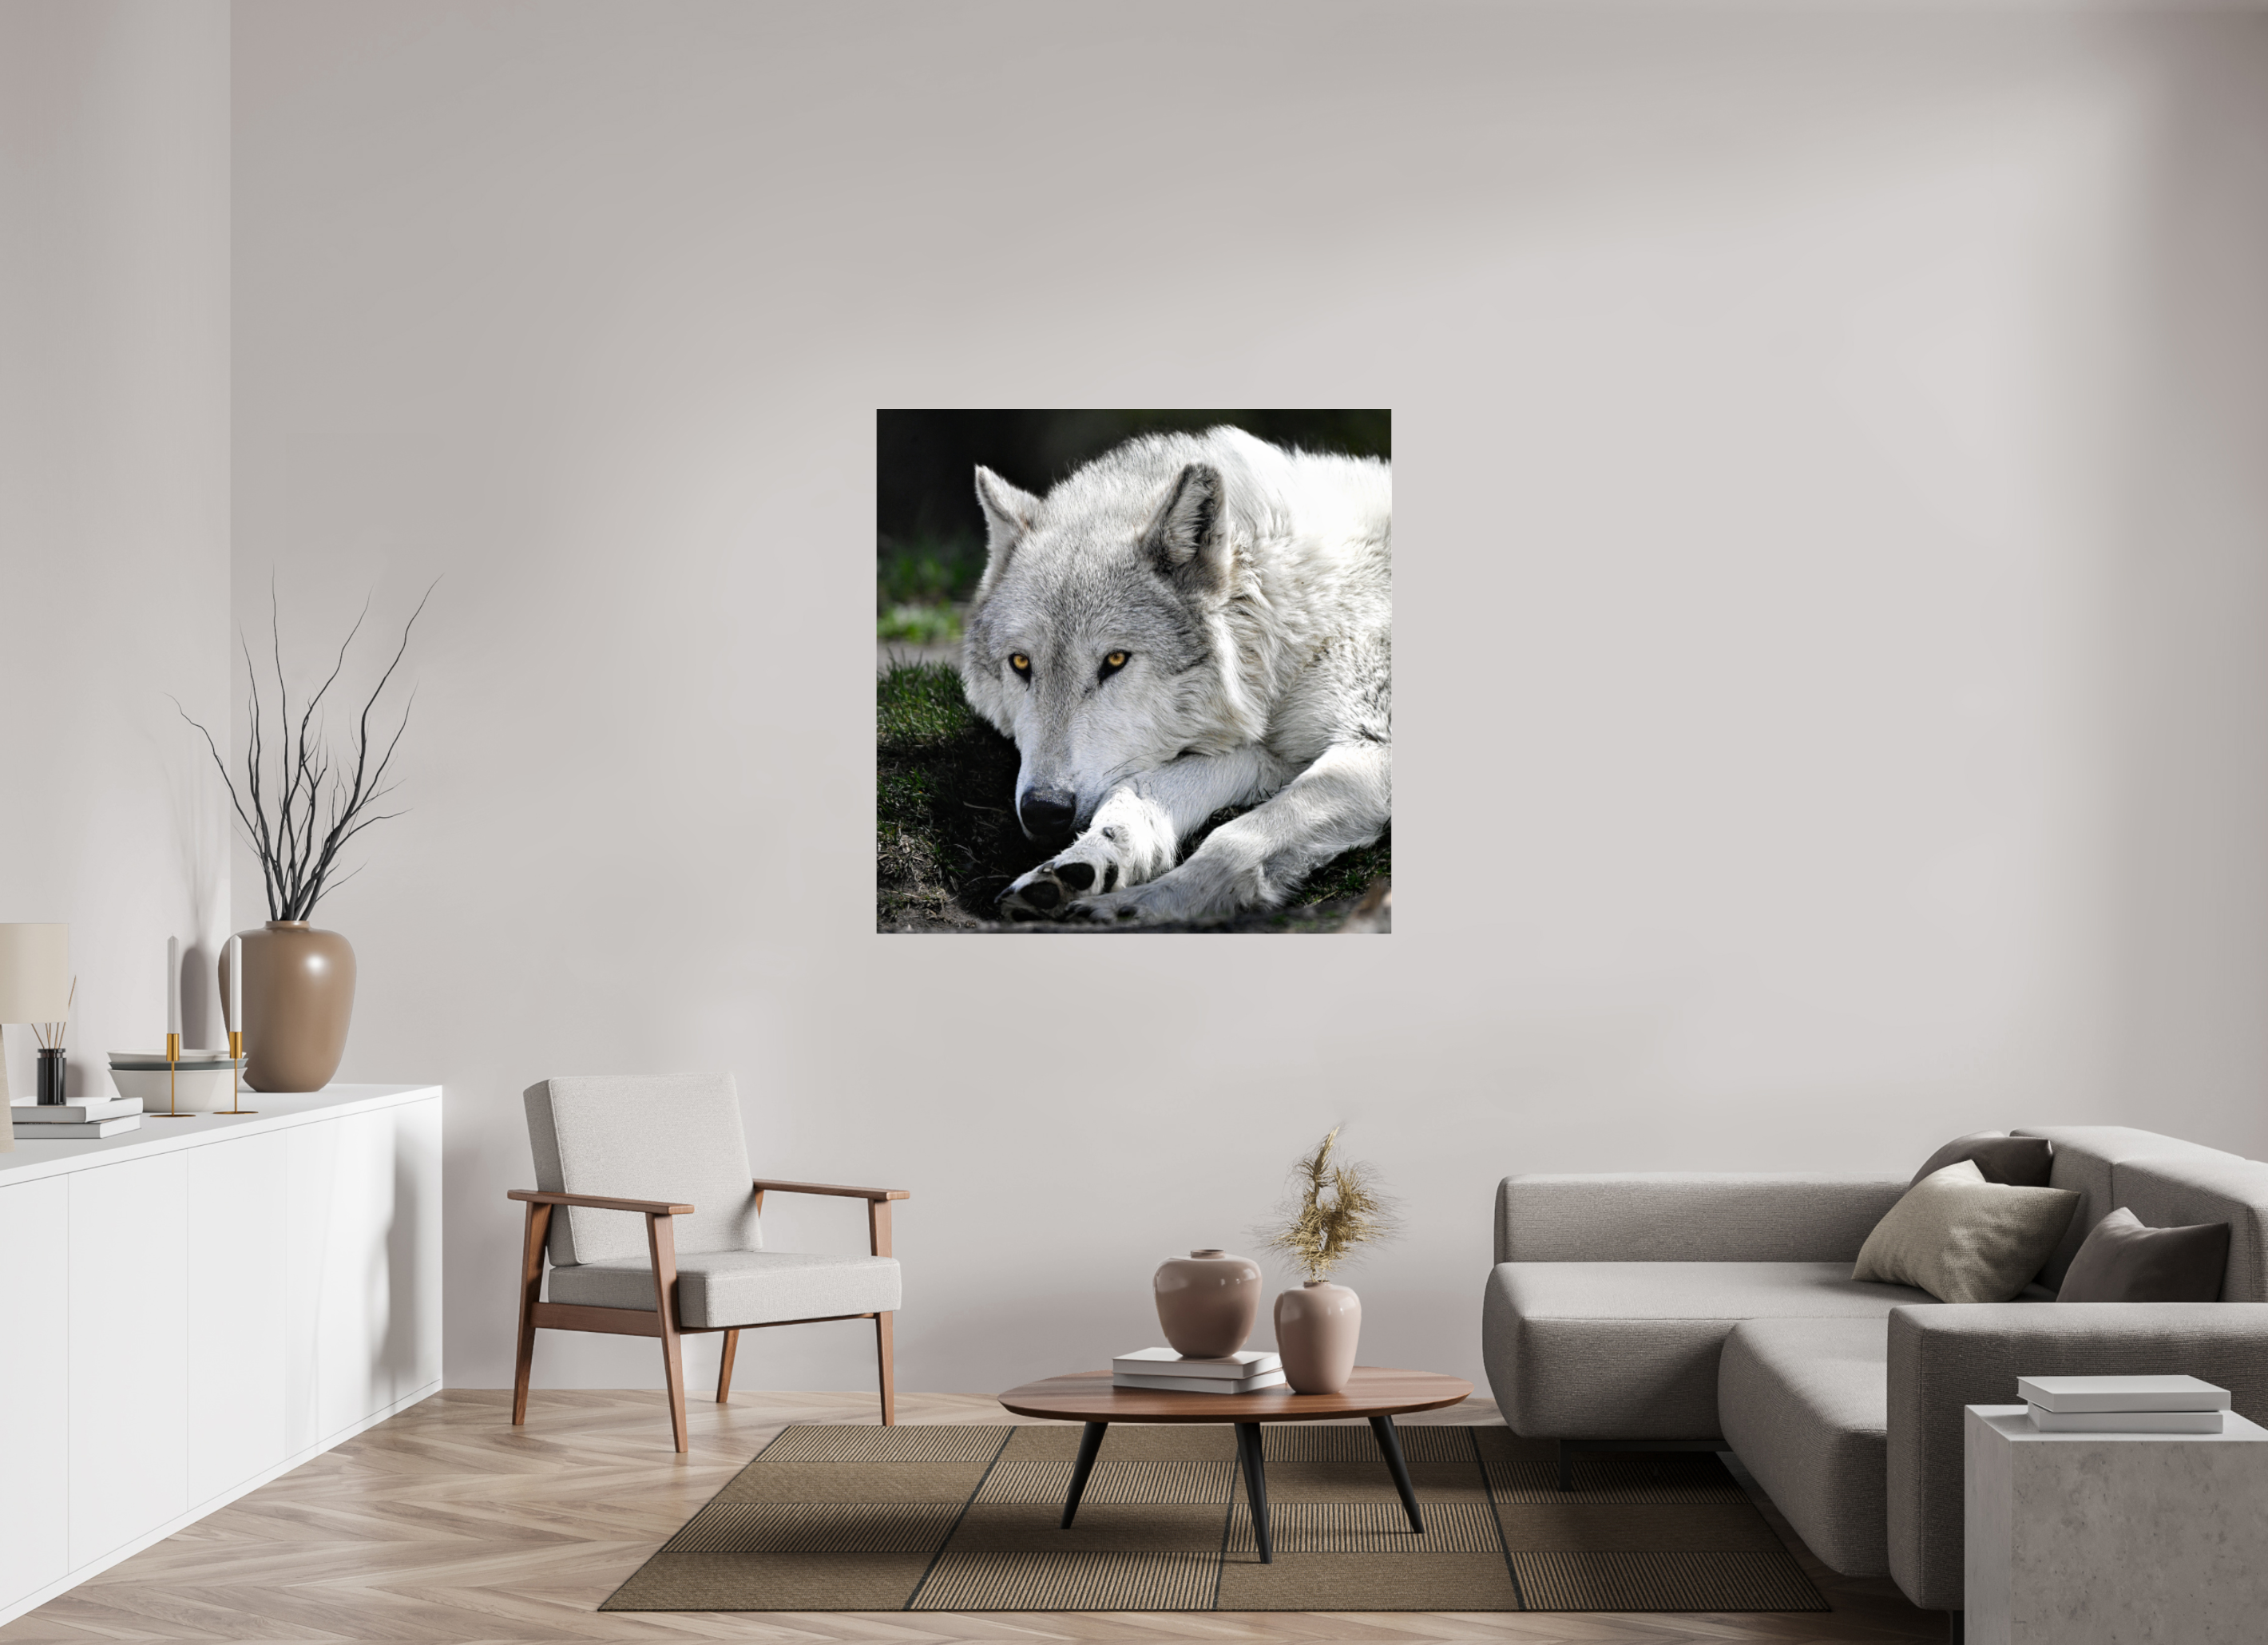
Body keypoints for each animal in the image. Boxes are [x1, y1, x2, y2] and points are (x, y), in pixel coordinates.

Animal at [961, 426, 1390, 925]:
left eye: (1115, 661)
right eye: (1021, 664)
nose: (1043, 811)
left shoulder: (1373, 746)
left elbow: (1236, 837)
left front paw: (1140, 907)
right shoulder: (1270, 756)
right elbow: (1134, 790)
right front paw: (1086, 862)